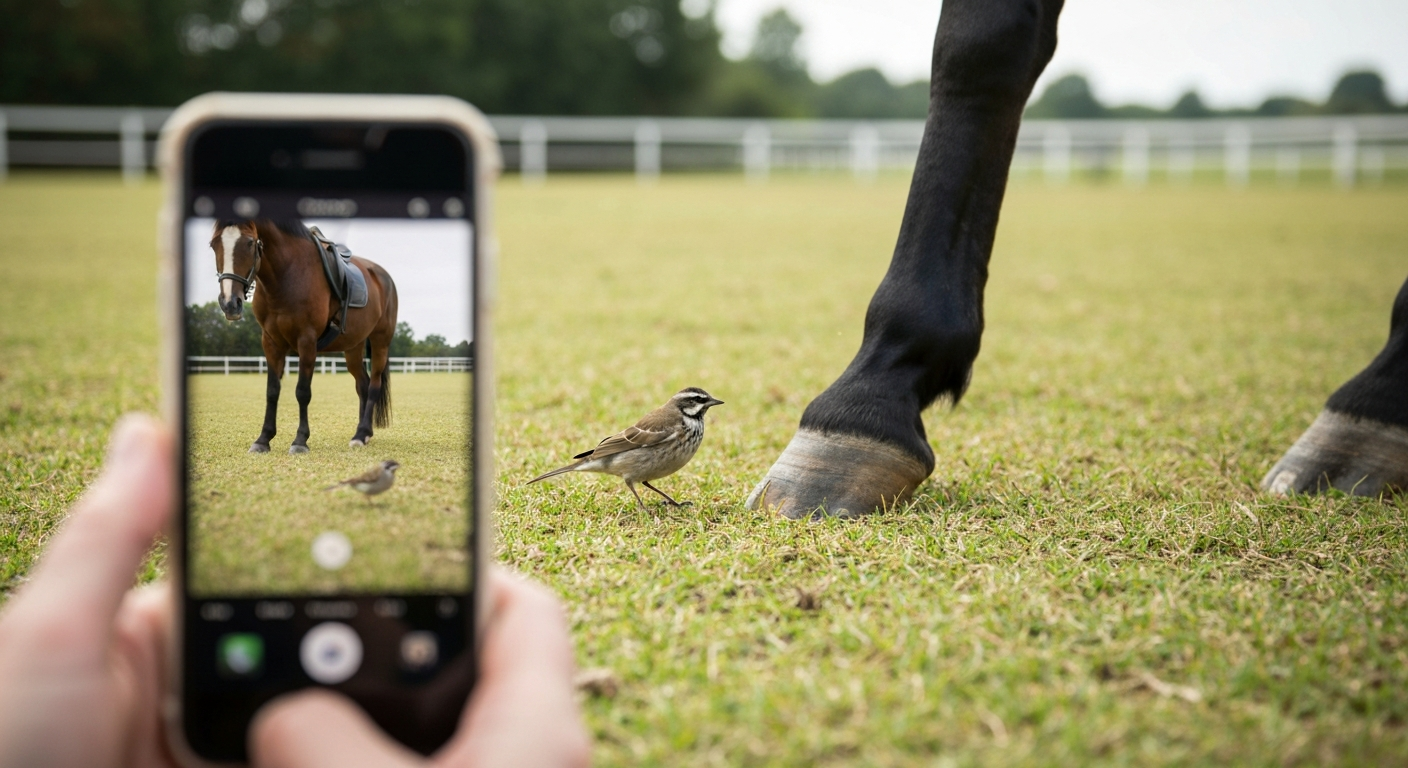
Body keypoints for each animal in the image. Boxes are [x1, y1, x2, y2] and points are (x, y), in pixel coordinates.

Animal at [210, 219, 398, 454]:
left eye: (250, 242)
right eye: (213, 244)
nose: (229, 303)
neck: (287, 274)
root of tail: (383, 276)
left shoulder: (306, 341)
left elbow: (302, 391)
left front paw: (300, 441)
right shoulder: (270, 342)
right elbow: (272, 391)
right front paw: (263, 439)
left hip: (381, 341)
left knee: (373, 386)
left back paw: (361, 433)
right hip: (353, 346)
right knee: (362, 385)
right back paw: (363, 434)